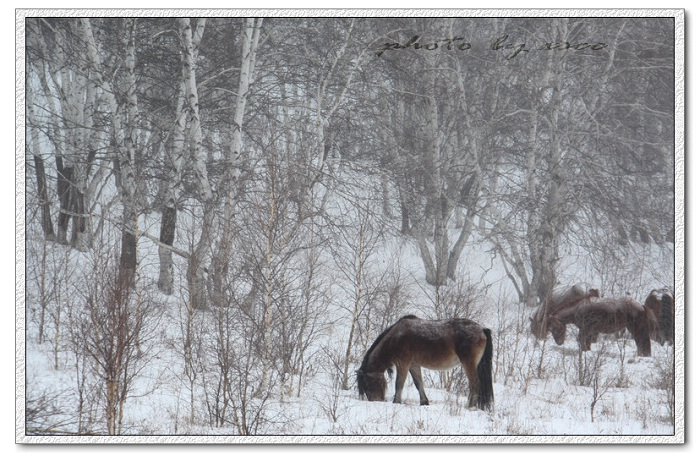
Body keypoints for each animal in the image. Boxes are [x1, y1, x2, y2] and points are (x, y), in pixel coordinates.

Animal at [358, 312, 494, 410]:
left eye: (367, 384)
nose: (375, 400)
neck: (396, 337)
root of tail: (482, 329)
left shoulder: (403, 364)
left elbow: (399, 384)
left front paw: (396, 402)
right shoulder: (413, 365)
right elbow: (419, 383)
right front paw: (424, 402)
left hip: (468, 363)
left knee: (475, 384)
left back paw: (470, 407)